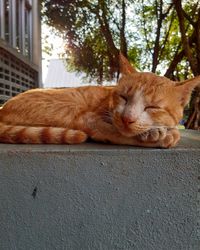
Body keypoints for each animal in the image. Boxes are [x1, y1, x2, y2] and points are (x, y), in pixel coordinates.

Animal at [0, 54, 198, 148]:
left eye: (152, 107)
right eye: (123, 97)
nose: (127, 118)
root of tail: (2, 108)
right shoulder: (97, 122)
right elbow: (120, 133)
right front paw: (161, 134)